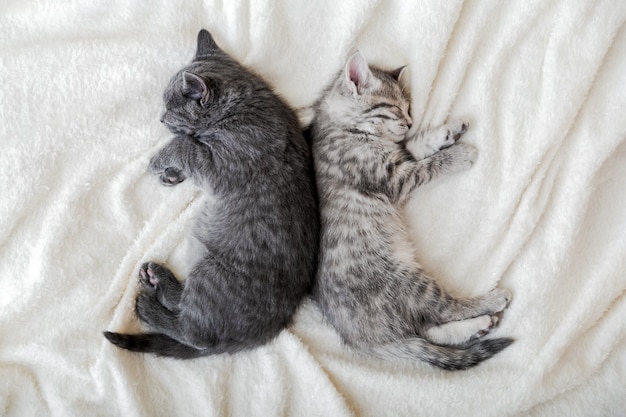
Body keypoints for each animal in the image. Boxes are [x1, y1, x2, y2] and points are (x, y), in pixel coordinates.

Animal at [104, 29, 316, 358]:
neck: (247, 103)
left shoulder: (221, 166)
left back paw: (149, 305)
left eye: (170, 109)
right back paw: (159, 279)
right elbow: (189, 146)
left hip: (212, 275)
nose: (160, 119)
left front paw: (159, 161)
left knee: (193, 332)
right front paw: (173, 174)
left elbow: (185, 144)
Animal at [312, 52, 512, 370]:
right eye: (396, 109)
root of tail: (361, 340)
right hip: (408, 282)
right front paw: (457, 154)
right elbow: (427, 167)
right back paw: (489, 303)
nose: (410, 121)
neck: (344, 127)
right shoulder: (393, 177)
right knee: (445, 309)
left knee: (426, 328)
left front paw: (445, 132)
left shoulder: (400, 156)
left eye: (408, 108)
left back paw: (477, 327)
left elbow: (416, 146)